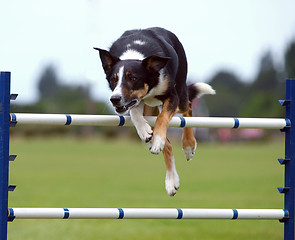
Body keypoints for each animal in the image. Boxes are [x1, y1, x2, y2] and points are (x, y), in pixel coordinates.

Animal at [95, 27, 215, 196]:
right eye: (113, 79)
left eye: (132, 78)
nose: (115, 99)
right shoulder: (135, 101)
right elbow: (135, 113)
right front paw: (145, 132)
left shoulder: (172, 96)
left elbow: (163, 118)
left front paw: (157, 140)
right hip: (150, 109)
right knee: (168, 143)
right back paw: (171, 181)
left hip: (181, 95)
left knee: (189, 106)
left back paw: (188, 146)